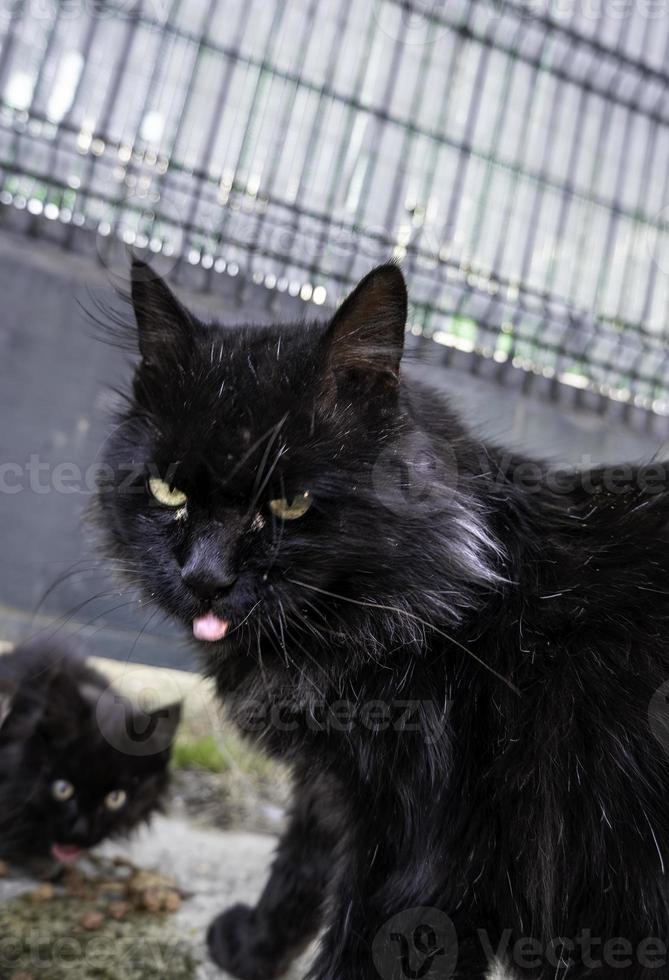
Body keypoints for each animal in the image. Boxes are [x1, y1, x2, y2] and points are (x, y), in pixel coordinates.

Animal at [95, 260, 669, 980]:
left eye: (289, 504)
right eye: (167, 491)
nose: (204, 578)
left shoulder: (421, 858)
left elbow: (354, 950)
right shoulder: (334, 790)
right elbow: (300, 862)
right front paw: (254, 946)